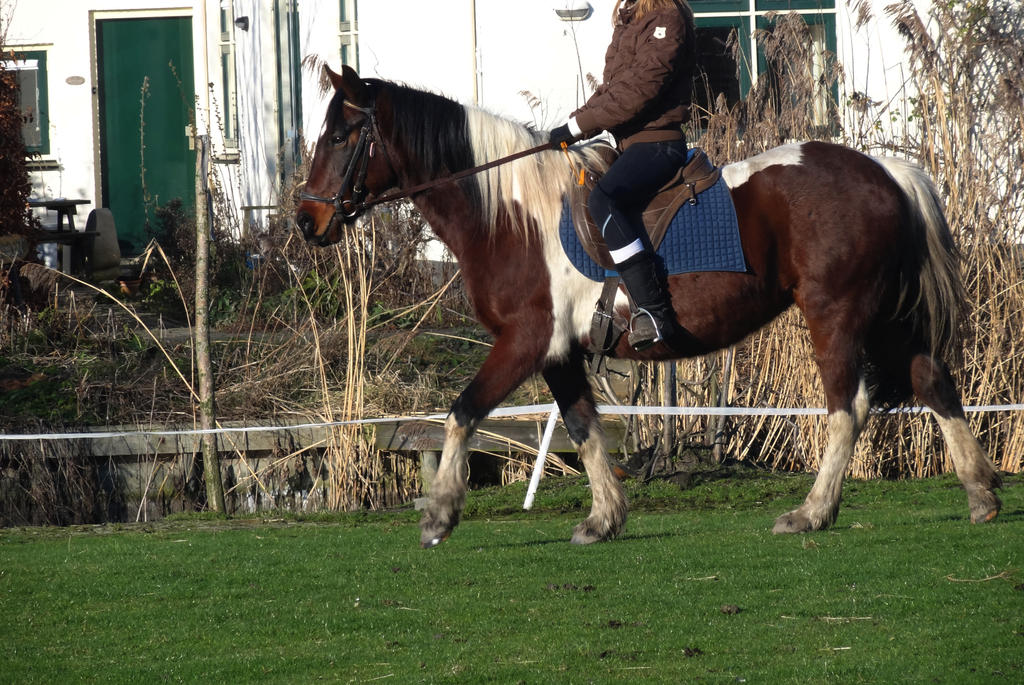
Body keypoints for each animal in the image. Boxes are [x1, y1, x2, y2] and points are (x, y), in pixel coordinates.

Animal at [296, 66, 999, 548]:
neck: (511, 215)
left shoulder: (525, 340)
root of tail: (885, 172)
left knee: (848, 407)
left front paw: (440, 515)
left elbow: (462, 412)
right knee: (935, 384)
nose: (307, 221)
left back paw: (813, 512)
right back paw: (982, 495)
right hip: (888, 321)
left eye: (342, 134)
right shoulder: (558, 353)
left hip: (837, 315)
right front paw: (605, 518)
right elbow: (583, 428)